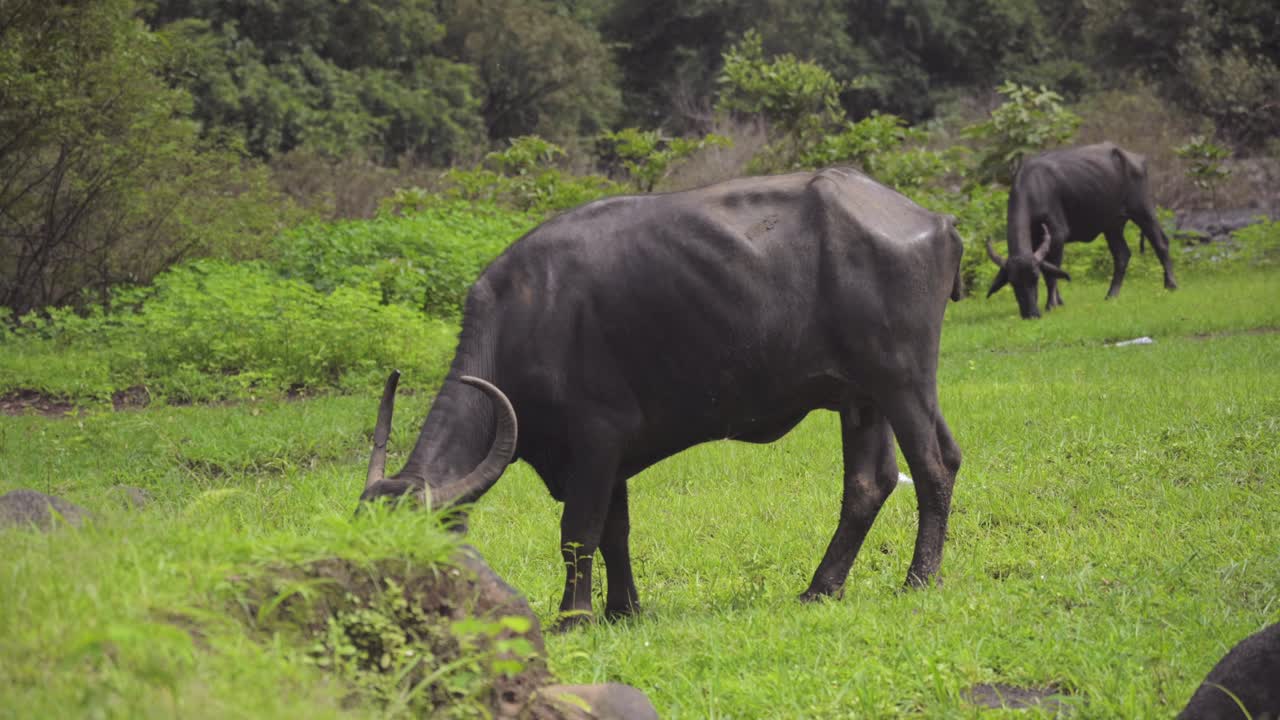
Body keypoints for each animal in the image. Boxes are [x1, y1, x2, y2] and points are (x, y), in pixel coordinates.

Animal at [360, 169, 965, 628]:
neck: (525, 318)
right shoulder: (608, 454)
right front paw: (623, 609)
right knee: (872, 482)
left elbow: (578, 533)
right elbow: (614, 532)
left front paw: (573, 617)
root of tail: (936, 221)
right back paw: (821, 587)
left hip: (902, 381)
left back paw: (919, 578)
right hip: (863, 399)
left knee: (932, 467)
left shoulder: (596, 438)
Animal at [987, 142, 1178, 319]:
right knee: (1122, 255)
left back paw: (1171, 285)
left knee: (1161, 243)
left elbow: (1051, 274)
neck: (1035, 189)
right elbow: (1049, 269)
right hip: (1112, 226)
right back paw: (1111, 295)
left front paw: (1051, 304)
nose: (1031, 314)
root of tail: (1137, 158)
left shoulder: (1057, 236)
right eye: (1012, 282)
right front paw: (1059, 301)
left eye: (1034, 278)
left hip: (1143, 210)